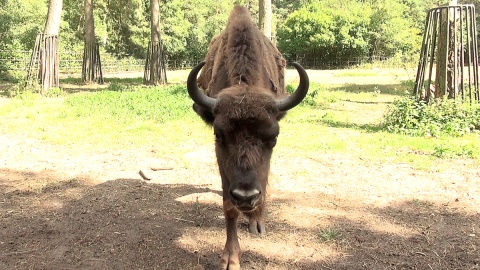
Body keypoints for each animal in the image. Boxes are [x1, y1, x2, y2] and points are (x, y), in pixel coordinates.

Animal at [186, 4, 310, 270]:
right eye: (219, 136)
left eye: (273, 138)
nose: (246, 196)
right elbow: (228, 207)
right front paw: (230, 258)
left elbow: (265, 181)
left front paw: (257, 221)